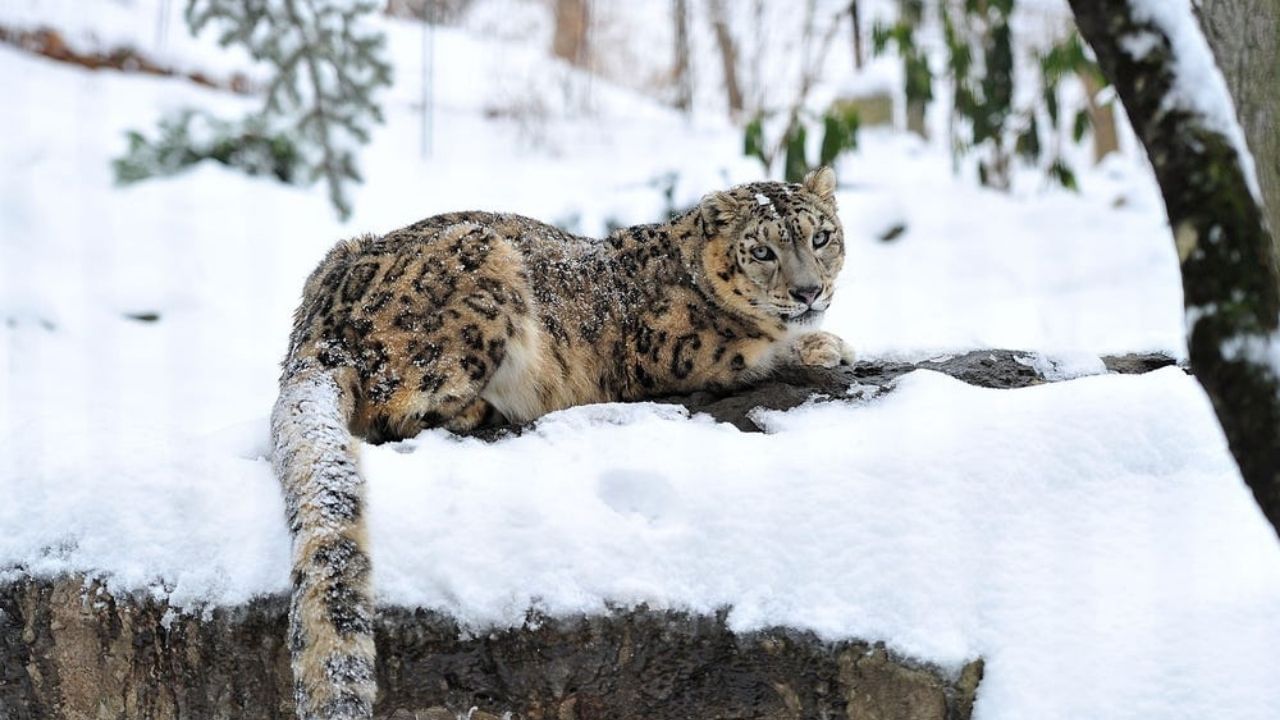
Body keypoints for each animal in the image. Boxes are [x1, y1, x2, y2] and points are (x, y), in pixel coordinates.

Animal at [267, 163, 849, 717]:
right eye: (762, 250)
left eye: (821, 237)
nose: (809, 292)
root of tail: (321, 333)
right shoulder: (677, 348)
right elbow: (757, 351)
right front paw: (825, 345)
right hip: (476, 279)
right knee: (403, 408)